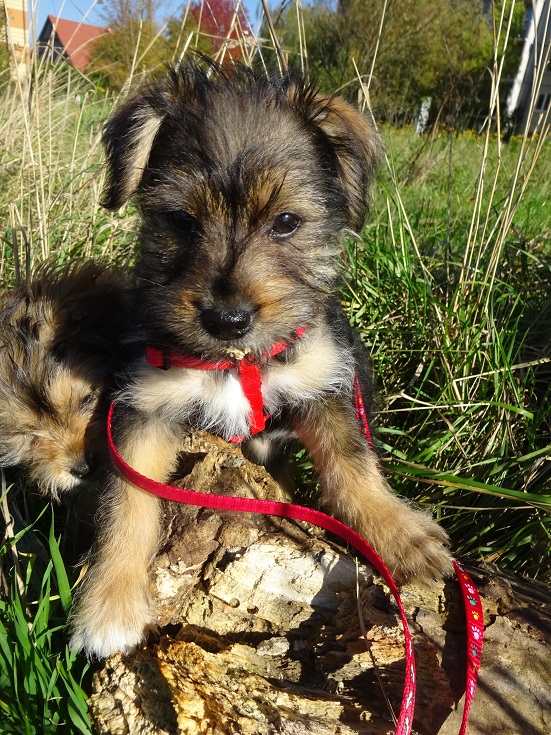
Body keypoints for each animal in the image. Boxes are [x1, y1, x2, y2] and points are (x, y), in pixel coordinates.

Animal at [69, 59, 453, 659]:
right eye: (180, 220)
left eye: (287, 222)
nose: (227, 321)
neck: (234, 362)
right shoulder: (142, 409)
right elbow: (126, 506)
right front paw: (108, 605)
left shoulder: (325, 387)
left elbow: (354, 467)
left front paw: (399, 534)